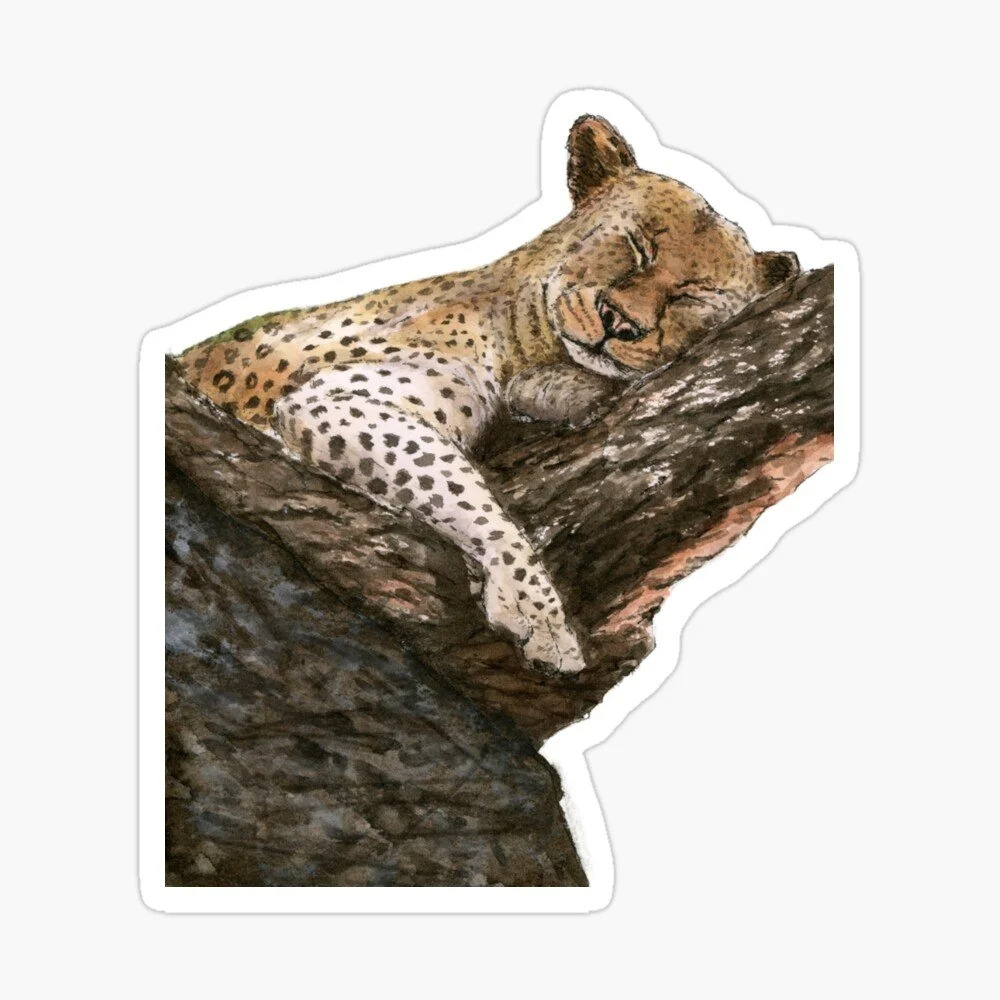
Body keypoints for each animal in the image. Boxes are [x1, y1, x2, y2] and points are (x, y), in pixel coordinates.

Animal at [175, 115, 799, 675]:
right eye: (635, 245)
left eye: (693, 295)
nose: (620, 322)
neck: (527, 337)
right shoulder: (339, 399)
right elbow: (466, 493)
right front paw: (540, 616)